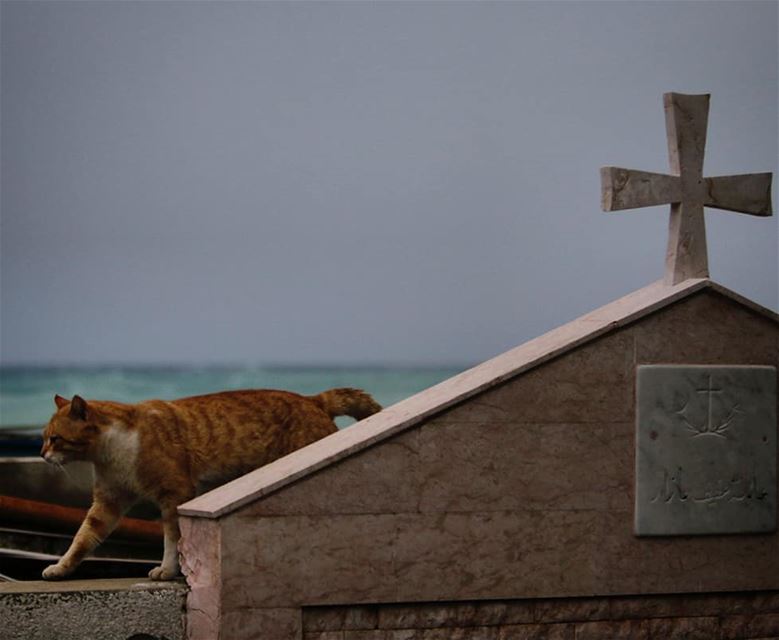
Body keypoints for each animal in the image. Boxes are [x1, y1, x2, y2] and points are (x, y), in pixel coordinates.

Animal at [39, 388, 380, 584]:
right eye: (44, 437)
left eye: (55, 438)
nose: (41, 454)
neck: (112, 450)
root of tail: (314, 399)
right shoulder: (109, 500)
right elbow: (83, 537)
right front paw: (61, 567)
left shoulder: (174, 493)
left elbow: (172, 537)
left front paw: (167, 571)